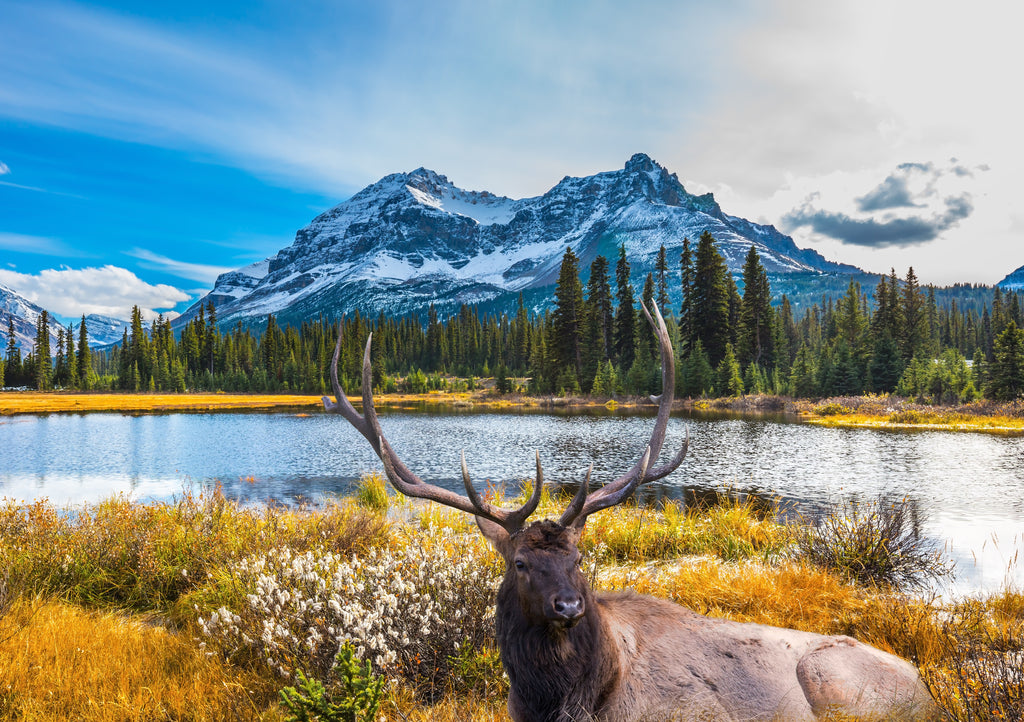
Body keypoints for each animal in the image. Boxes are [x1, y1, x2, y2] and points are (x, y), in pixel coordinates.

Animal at [323, 302, 938, 722]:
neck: (567, 703)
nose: (569, 605)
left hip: (834, 681)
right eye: (520, 564)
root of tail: (928, 687)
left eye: (579, 558)